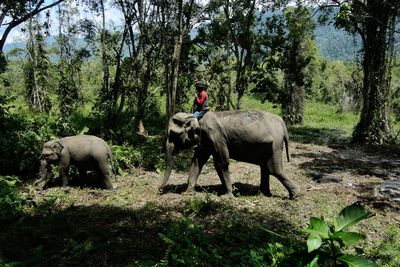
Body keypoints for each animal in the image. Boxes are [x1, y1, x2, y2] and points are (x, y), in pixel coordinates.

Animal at [160, 110, 300, 200]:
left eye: (172, 134)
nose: (159, 189)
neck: (198, 119)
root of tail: (282, 124)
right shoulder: (205, 141)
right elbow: (197, 161)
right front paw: (187, 193)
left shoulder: (215, 136)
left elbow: (222, 162)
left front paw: (227, 196)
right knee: (265, 168)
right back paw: (264, 194)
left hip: (275, 145)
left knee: (273, 169)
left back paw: (294, 195)